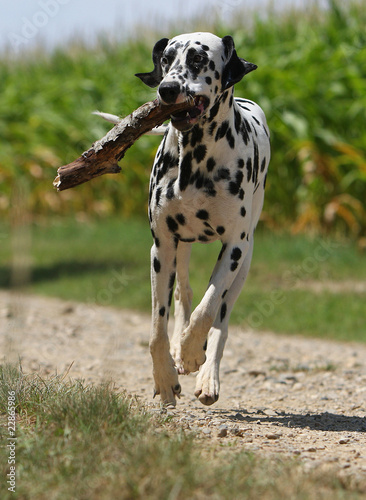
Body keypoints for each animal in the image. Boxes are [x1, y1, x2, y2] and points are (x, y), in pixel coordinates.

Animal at [98, 32, 270, 406]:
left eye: (197, 59)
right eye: (166, 58)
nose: (167, 89)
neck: (197, 159)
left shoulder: (234, 248)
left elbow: (209, 308)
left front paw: (192, 354)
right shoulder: (161, 248)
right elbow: (156, 329)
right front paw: (165, 375)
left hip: (246, 260)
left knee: (221, 317)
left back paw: (207, 376)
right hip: (182, 248)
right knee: (184, 293)